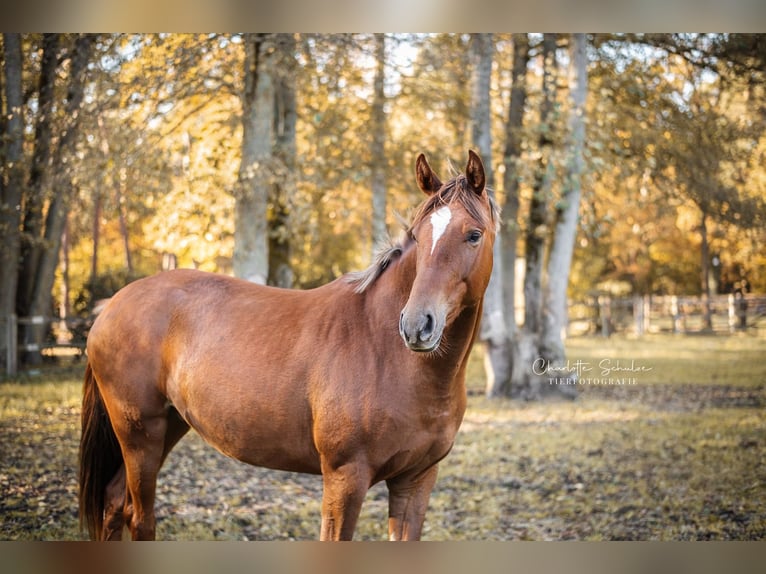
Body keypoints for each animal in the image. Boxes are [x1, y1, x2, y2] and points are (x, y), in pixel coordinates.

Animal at [78, 151, 498, 544]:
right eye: (418, 236)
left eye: (474, 235)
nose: (415, 326)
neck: (387, 354)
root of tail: (111, 305)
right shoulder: (346, 478)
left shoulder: (416, 480)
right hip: (140, 435)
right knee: (139, 518)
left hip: (168, 426)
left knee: (114, 502)